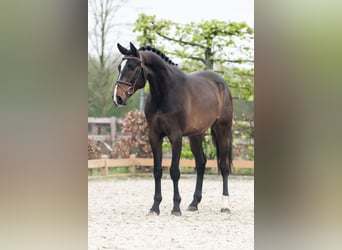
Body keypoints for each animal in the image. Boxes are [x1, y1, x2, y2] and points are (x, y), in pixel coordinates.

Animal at [112, 43, 232, 215]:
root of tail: (222, 83)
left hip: (223, 130)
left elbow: (174, 171)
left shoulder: (176, 136)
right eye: (119, 67)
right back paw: (194, 203)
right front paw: (155, 207)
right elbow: (157, 170)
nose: (117, 98)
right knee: (201, 163)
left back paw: (225, 205)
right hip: (196, 135)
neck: (165, 93)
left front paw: (176, 208)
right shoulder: (154, 136)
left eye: (132, 67)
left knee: (224, 165)